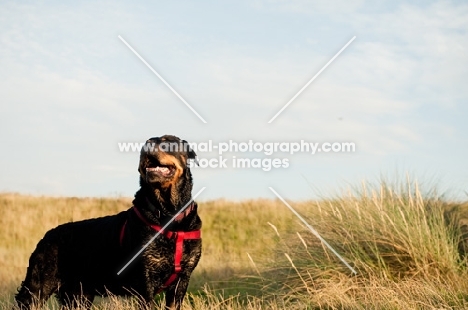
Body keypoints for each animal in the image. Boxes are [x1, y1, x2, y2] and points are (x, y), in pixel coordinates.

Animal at [14, 136, 201, 310]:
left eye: (167, 141)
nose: (146, 147)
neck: (169, 215)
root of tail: (46, 236)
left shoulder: (182, 281)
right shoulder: (145, 282)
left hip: (78, 296)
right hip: (38, 286)